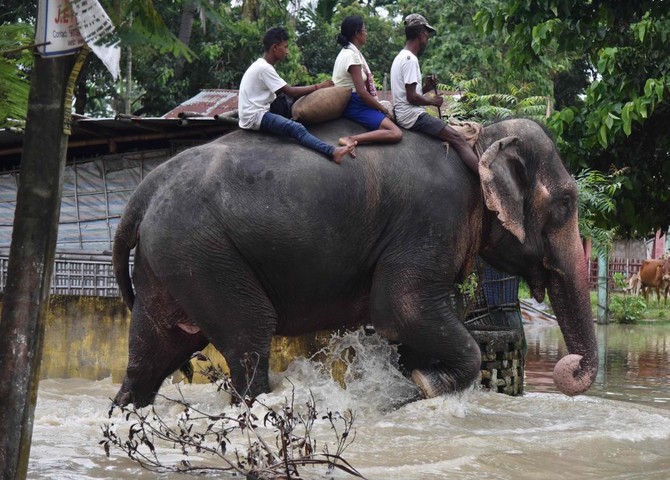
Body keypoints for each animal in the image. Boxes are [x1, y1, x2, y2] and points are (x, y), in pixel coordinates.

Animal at [113, 116, 600, 404]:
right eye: (565, 204)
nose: (570, 365)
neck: (478, 138)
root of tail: (145, 190)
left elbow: (407, 330)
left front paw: (410, 386)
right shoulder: (431, 218)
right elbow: (402, 310)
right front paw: (427, 384)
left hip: (170, 258)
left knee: (152, 349)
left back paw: (126, 411)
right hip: (202, 254)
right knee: (248, 338)